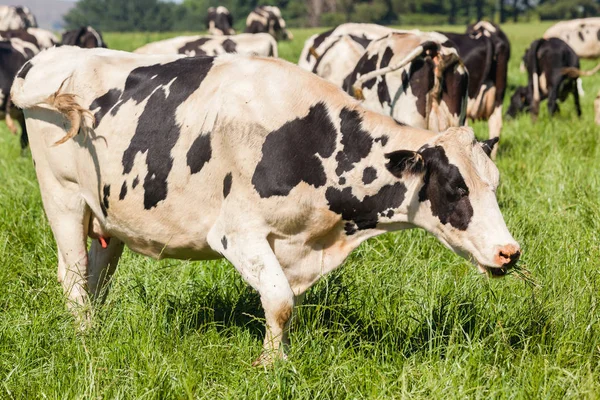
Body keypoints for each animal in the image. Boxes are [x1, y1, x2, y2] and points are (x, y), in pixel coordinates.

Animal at [12, 46, 520, 366]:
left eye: (494, 184)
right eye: (456, 188)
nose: (509, 252)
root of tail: (47, 56)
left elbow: (285, 302)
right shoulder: (237, 233)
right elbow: (279, 302)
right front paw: (270, 365)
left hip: (107, 217)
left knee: (96, 277)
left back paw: (97, 331)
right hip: (62, 197)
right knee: (73, 275)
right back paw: (84, 339)